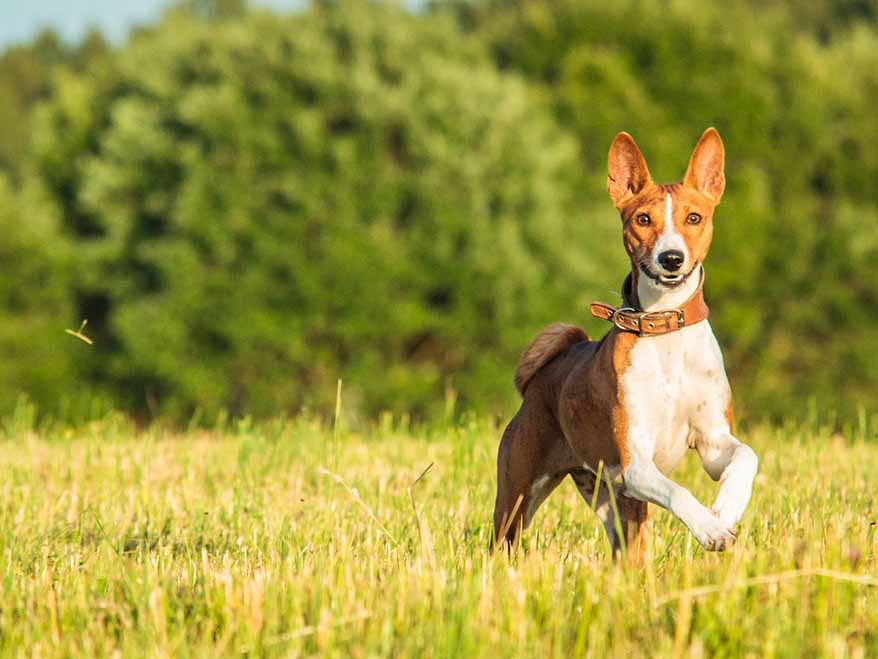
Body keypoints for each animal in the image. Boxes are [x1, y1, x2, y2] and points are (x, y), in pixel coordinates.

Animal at [492, 127, 760, 556]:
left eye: (694, 218)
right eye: (643, 219)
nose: (671, 258)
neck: (666, 331)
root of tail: (544, 376)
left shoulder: (713, 442)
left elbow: (747, 456)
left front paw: (726, 508)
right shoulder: (636, 464)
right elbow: (679, 492)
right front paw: (710, 528)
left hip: (614, 504)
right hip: (519, 497)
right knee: (501, 541)